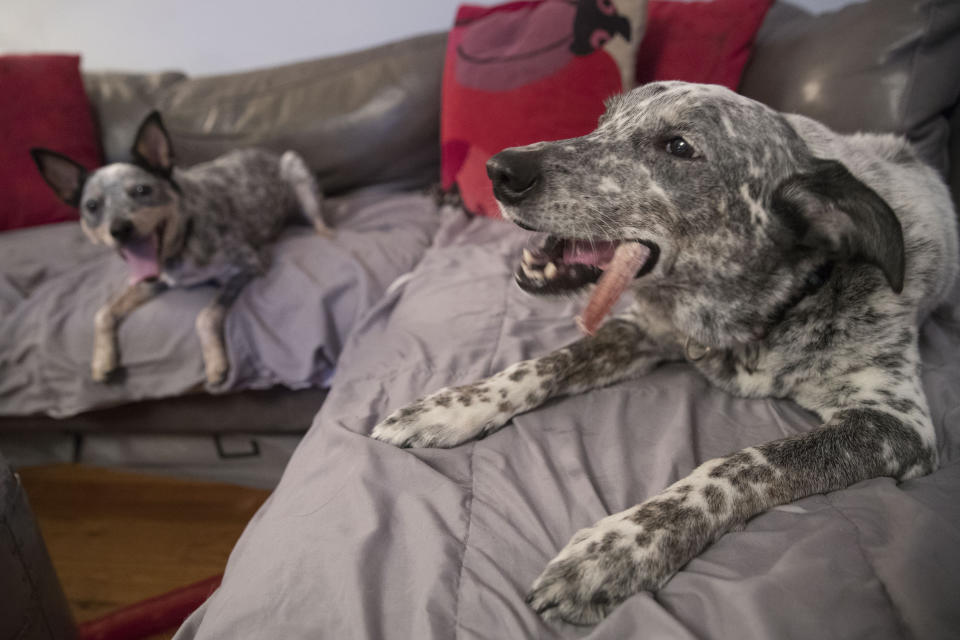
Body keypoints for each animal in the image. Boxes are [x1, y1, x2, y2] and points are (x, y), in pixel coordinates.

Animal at [32, 110, 330, 384]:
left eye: (142, 190)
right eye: (92, 206)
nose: (120, 230)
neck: (184, 239)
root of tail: (264, 152)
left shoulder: (248, 264)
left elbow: (205, 315)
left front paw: (215, 363)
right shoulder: (152, 281)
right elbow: (103, 312)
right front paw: (102, 360)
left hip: (297, 172)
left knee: (318, 220)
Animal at [372, 81, 956, 624]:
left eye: (679, 146)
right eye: (604, 120)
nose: (500, 169)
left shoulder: (895, 422)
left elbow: (743, 465)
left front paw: (619, 549)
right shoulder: (642, 330)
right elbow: (542, 364)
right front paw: (453, 406)